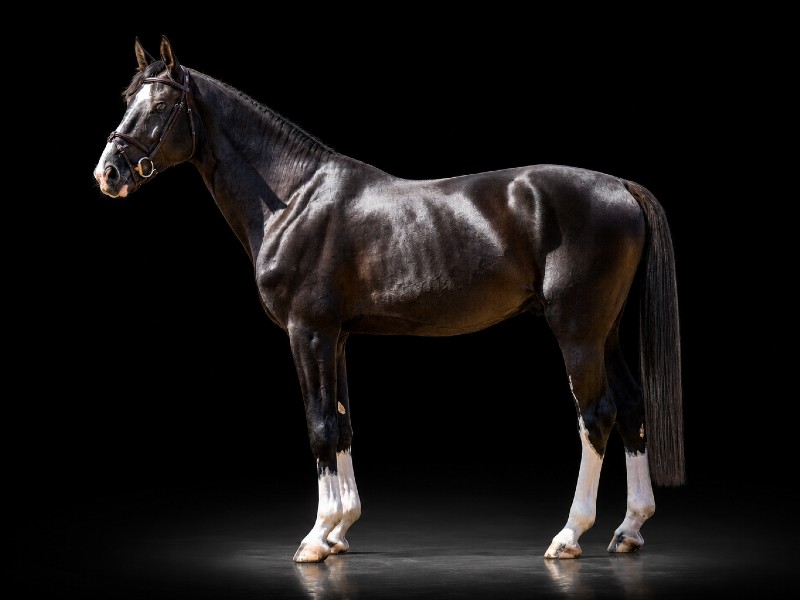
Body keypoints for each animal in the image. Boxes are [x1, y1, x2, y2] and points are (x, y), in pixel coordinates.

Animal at [93, 36, 684, 563]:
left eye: (161, 106)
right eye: (128, 102)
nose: (108, 173)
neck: (294, 197)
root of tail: (621, 186)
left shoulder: (307, 332)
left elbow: (319, 427)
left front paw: (316, 538)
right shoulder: (335, 336)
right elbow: (342, 423)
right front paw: (339, 530)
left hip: (577, 331)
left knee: (596, 416)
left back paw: (569, 536)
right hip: (606, 331)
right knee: (632, 407)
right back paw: (628, 530)